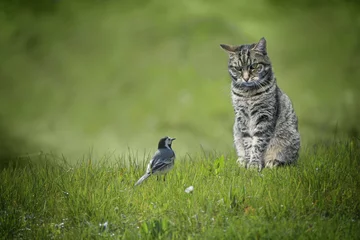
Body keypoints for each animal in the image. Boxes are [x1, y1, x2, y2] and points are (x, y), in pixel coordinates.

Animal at [219, 37, 300, 172]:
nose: (246, 78)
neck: (248, 94)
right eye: (238, 68)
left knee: (288, 160)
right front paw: (247, 162)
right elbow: (248, 143)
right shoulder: (242, 118)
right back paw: (241, 161)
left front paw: (254, 164)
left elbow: (258, 143)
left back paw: (273, 162)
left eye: (254, 66)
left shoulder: (264, 116)